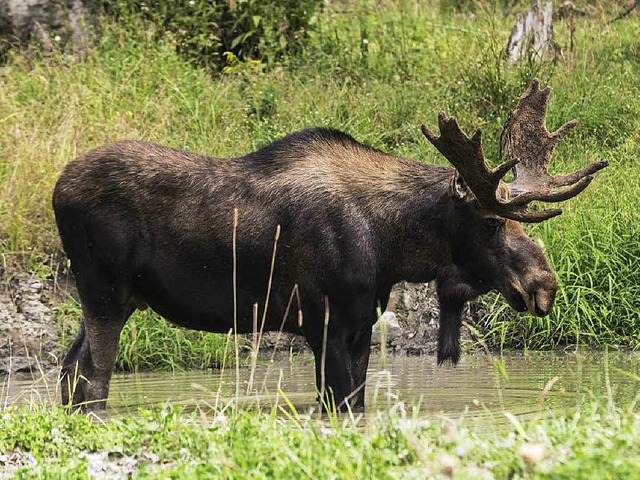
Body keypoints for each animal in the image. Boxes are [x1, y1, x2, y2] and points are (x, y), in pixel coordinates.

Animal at [53, 80, 604, 410]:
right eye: (491, 222)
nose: (544, 285)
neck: (391, 246)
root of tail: (56, 189)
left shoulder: (359, 328)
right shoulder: (326, 325)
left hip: (116, 298)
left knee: (69, 370)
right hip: (103, 291)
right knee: (92, 377)